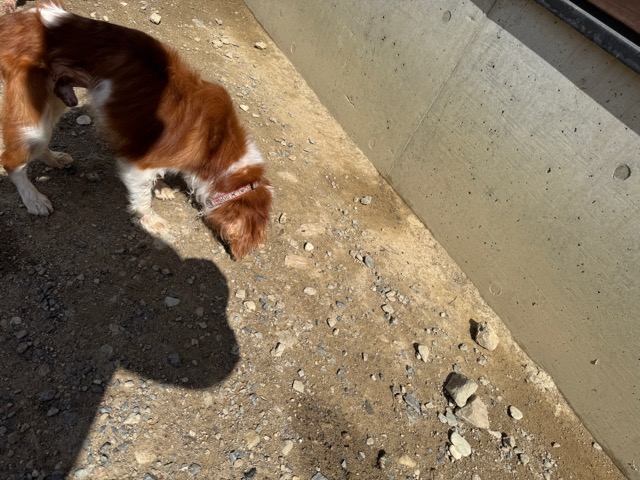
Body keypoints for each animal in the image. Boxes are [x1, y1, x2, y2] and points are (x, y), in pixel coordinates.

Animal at [0, 1, 272, 259]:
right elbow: (142, 197)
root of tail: (17, 21)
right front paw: (151, 220)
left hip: (56, 99)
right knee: (12, 161)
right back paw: (34, 200)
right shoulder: (135, 165)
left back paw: (55, 159)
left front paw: (161, 187)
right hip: (33, 118)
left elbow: (156, 178)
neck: (217, 145)